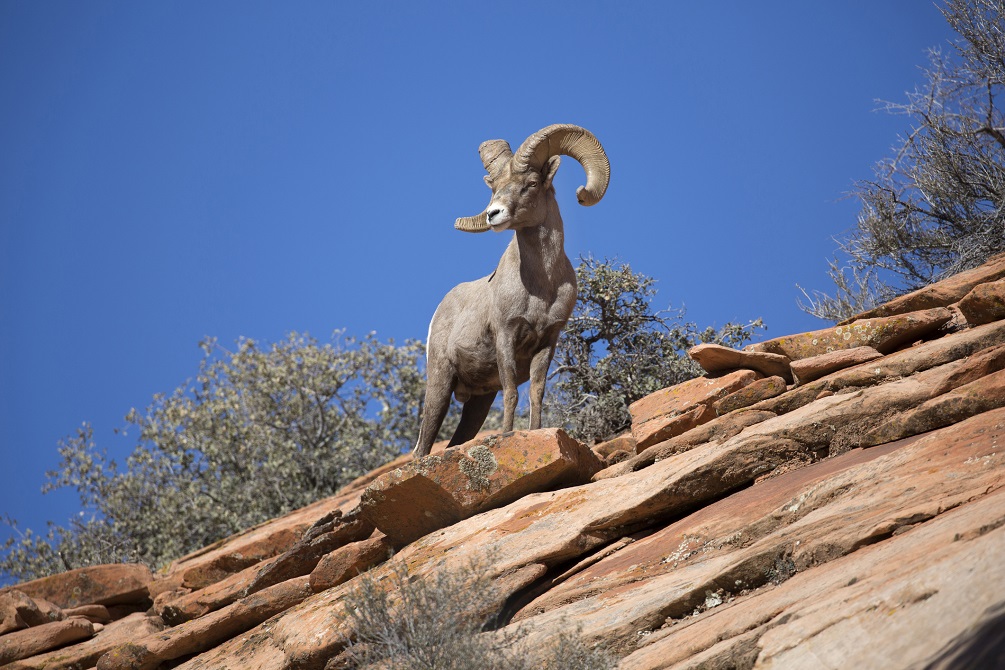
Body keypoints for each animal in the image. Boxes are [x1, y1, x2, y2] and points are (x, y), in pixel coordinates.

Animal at [410, 124, 611, 462]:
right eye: (494, 188)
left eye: (531, 183)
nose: (494, 214)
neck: (541, 288)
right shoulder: (506, 336)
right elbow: (513, 393)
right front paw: (507, 436)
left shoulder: (547, 341)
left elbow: (536, 393)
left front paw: (535, 432)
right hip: (440, 382)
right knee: (423, 446)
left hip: (477, 403)